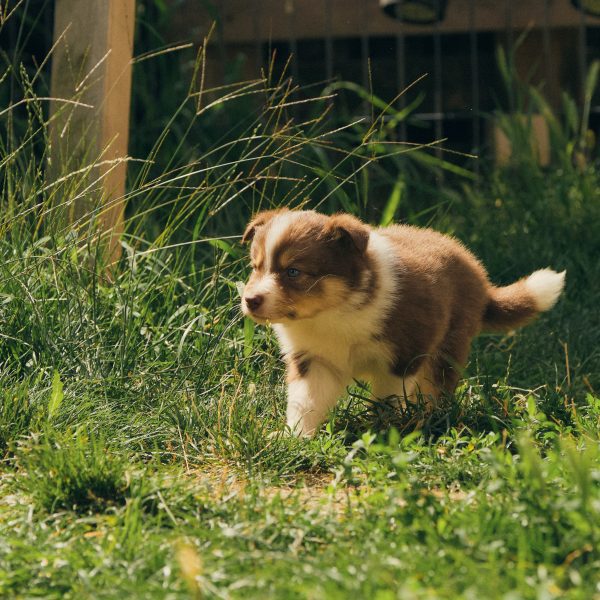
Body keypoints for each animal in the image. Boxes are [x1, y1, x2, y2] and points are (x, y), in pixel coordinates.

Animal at [240, 210, 568, 436]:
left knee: (436, 389)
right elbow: (304, 402)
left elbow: (387, 400)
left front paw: (381, 434)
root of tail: (479, 277)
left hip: (448, 346)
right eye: (256, 267)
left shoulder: (401, 357)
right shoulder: (314, 359)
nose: (250, 300)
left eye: (293, 271)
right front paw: (295, 438)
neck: (333, 314)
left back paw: (429, 419)